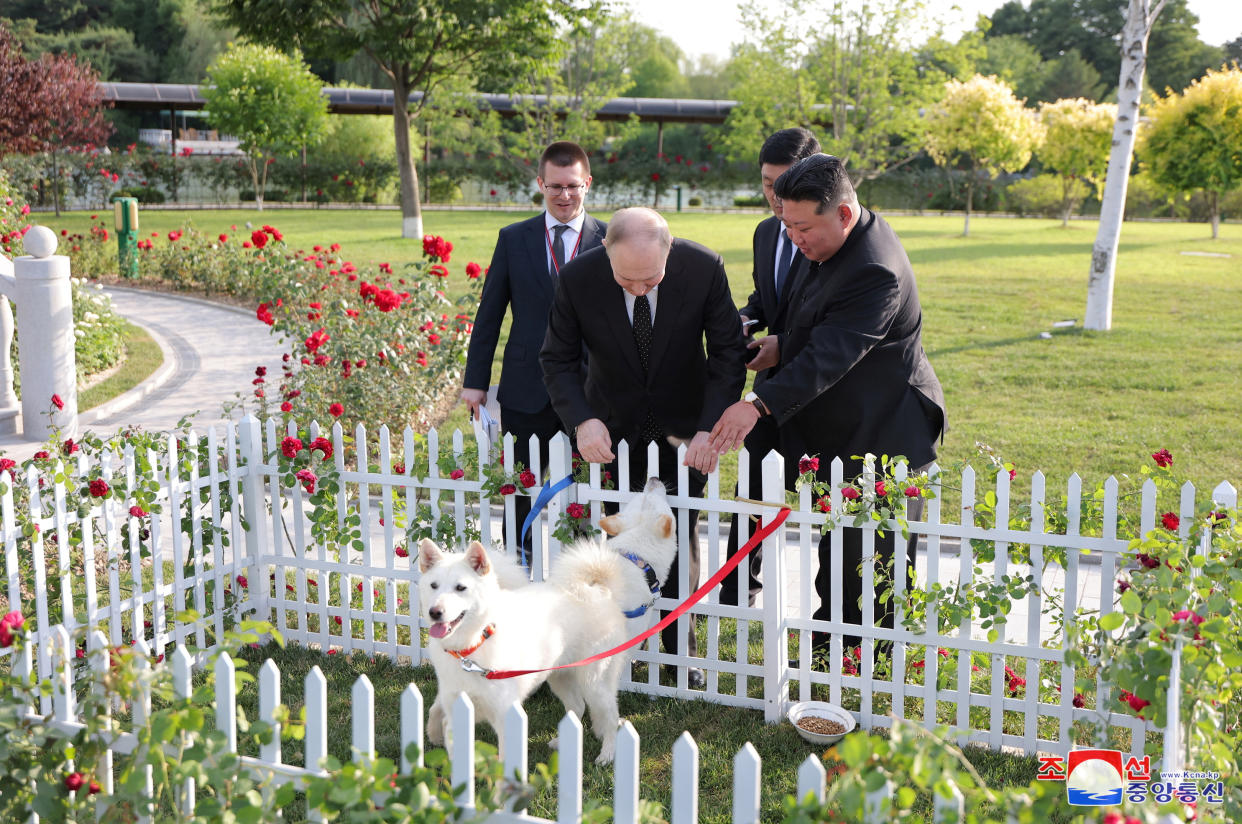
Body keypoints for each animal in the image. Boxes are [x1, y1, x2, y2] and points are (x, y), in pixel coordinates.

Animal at [417, 479, 675, 765]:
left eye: (461, 588)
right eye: (434, 586)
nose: (653, 479)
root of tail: (598, 588)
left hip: (582, 677)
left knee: (598, 713)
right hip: (573, 676)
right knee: (586, 708)